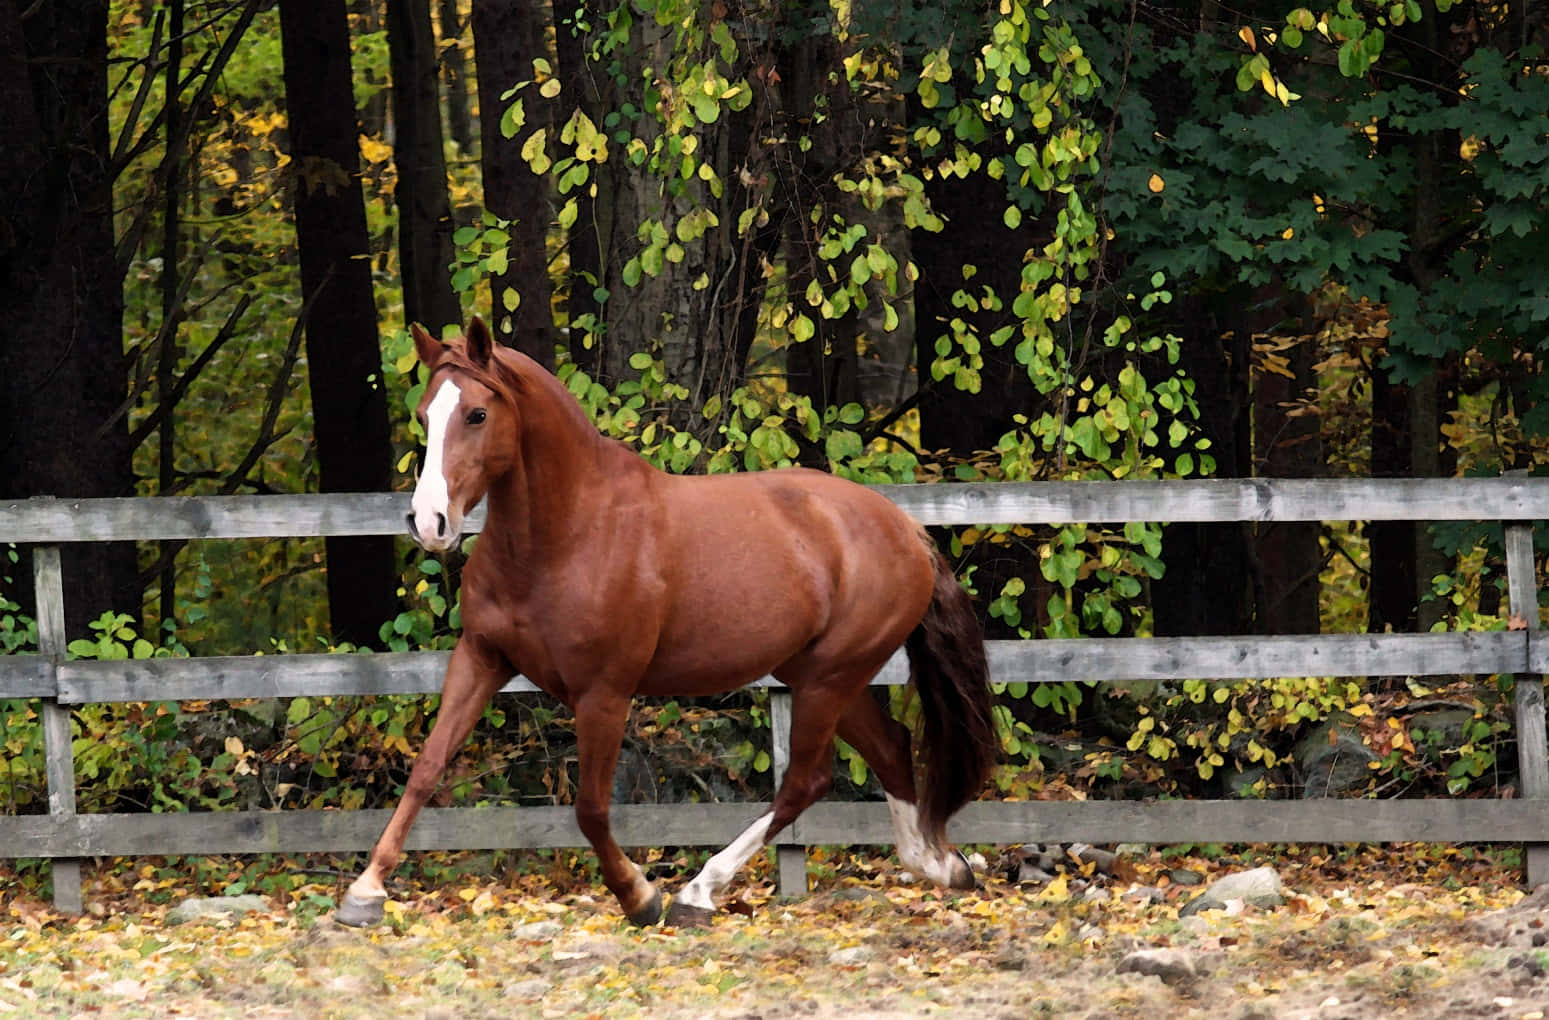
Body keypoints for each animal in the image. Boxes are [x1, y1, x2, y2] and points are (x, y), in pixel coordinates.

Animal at [334, 316, 996, 928]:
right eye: (424, 416)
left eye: (475, 414)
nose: (429, 522)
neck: (568, 533)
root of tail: (907, 530)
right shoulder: (482, 658)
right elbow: (427, 768)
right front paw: (364, 893)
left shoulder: (603, 693)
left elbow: (590, 809)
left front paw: (639, 895)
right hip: (821, 677)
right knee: (890, 749)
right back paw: (941, 864)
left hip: (831, 679)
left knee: (805, 782)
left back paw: (697, 892)